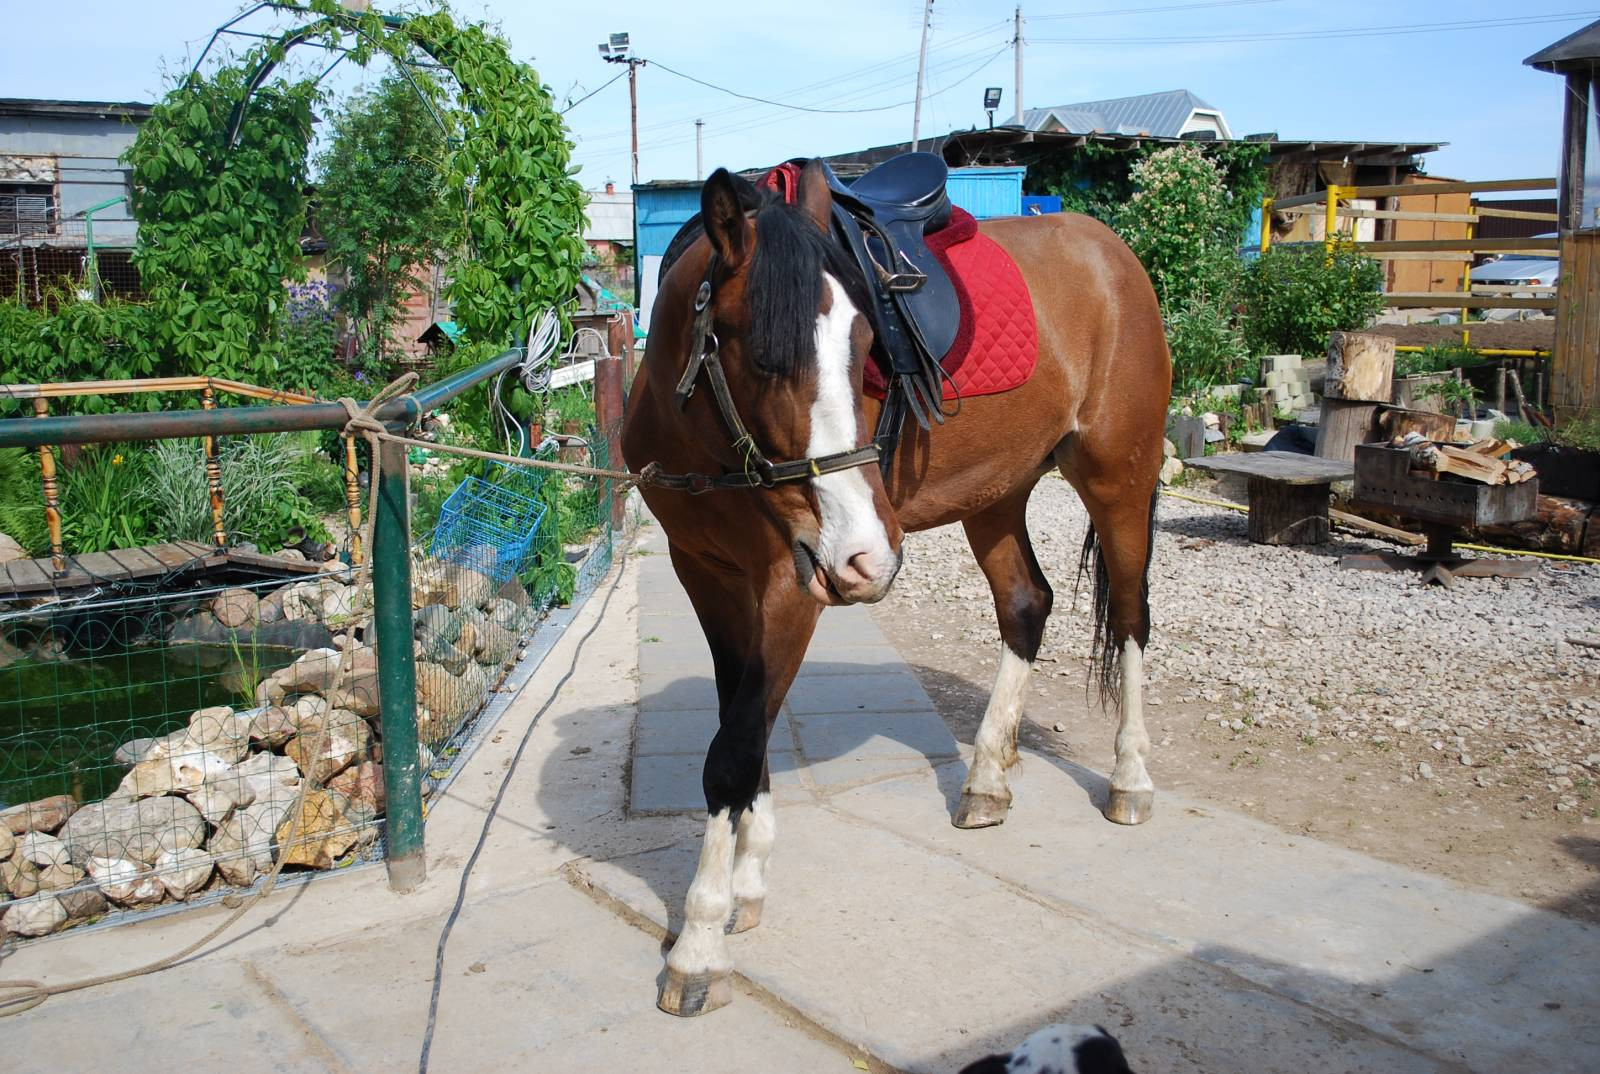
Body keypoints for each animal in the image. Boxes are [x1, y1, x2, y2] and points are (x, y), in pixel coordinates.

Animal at [617, 160, 1171, 1017]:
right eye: (763, 357)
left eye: (866, 346)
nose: (868, 560)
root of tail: (1111, 254)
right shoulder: (705, 572)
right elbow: (742, 722)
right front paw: (746, 883)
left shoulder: (790, 582)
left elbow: (735, 748)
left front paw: (700, 942)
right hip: (998, 493)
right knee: (1026, 606)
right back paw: (986, 778)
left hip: (1119, 477)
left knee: (1134, 619)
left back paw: (1129, 779)